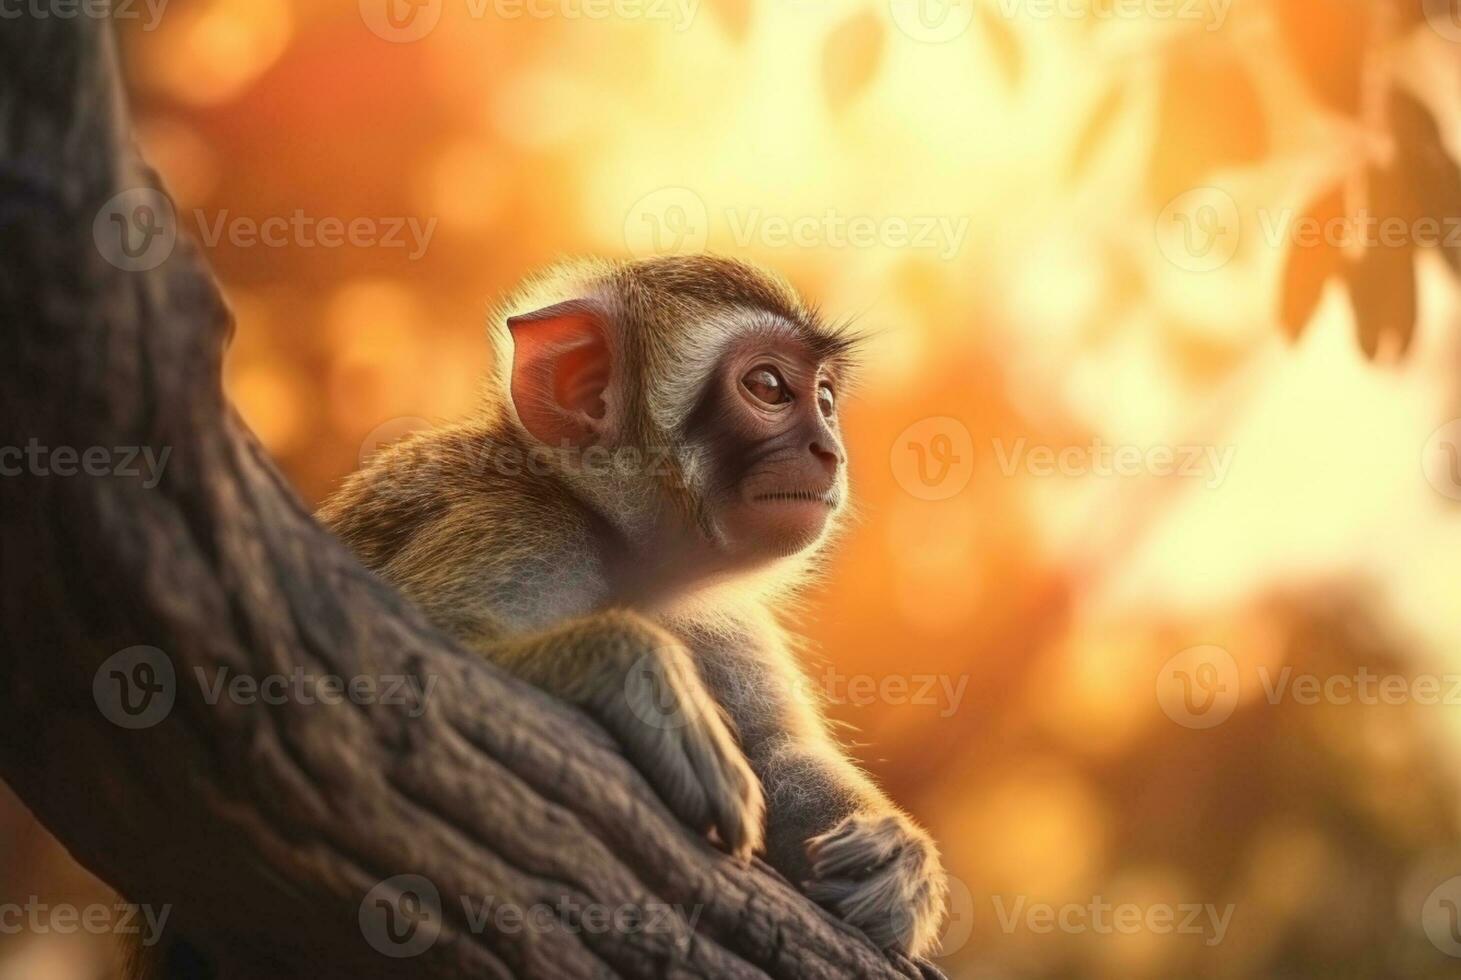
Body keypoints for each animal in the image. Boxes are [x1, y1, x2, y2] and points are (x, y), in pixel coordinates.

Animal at [313, 254, 949, 959]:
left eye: (827, 400)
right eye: (768, 387)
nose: (829, 451)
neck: (624, 554)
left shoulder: (721, 621)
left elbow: (780, 755)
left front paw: (899, 860)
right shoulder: (524, 530)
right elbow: (402, 657)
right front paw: (638, 673)